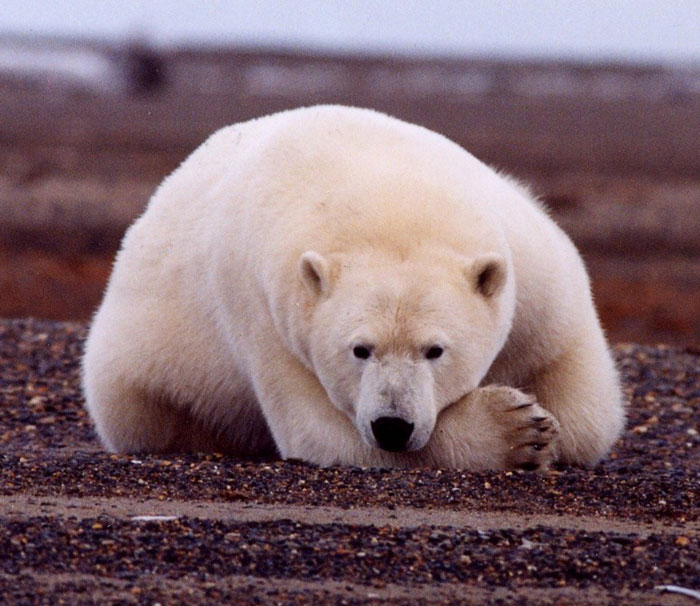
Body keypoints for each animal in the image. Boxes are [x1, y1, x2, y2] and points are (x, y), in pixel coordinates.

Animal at [82, 105, 625, 471]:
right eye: (360, 349)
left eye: (435, 350)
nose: (393, 425)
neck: (388, 197)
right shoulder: (268, 312)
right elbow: (321, 432)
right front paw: (518, 430)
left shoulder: (534, 268)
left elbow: (583, 405)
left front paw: (546, 423)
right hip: (141, 372)